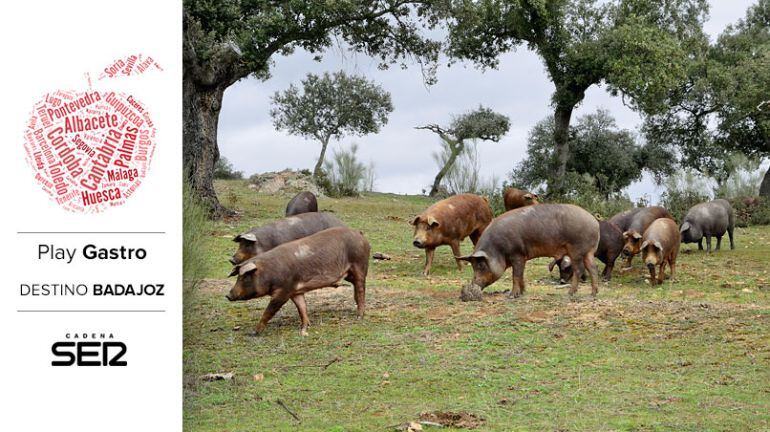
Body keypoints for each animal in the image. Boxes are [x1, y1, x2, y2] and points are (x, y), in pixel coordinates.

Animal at [225, 226, 368, 338]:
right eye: (238, 277)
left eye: (245, 277)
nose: (228, 295)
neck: (269, 272)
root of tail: (359, 234)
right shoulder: (295, 291)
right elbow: (301, 307)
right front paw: (305, 327)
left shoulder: (283, 291)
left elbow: (269, 311)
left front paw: (253, 333)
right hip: (348, 274)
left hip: (359, 264)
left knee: (361, 289)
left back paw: (359, 316)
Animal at [456, 204, 600, 298]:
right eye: (473, 266)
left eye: (480, 265)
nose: (473, 285)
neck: (497, 249)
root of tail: (594, 222)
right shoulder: (522, 257)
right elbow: (521, 275)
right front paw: (523, 292)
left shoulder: (517, 254)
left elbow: (515, 275)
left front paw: (512, 295)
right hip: (588, 252)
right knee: (593, 268)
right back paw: (593, 294)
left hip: (576, 249)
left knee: (579, 269)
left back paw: (570, 293)